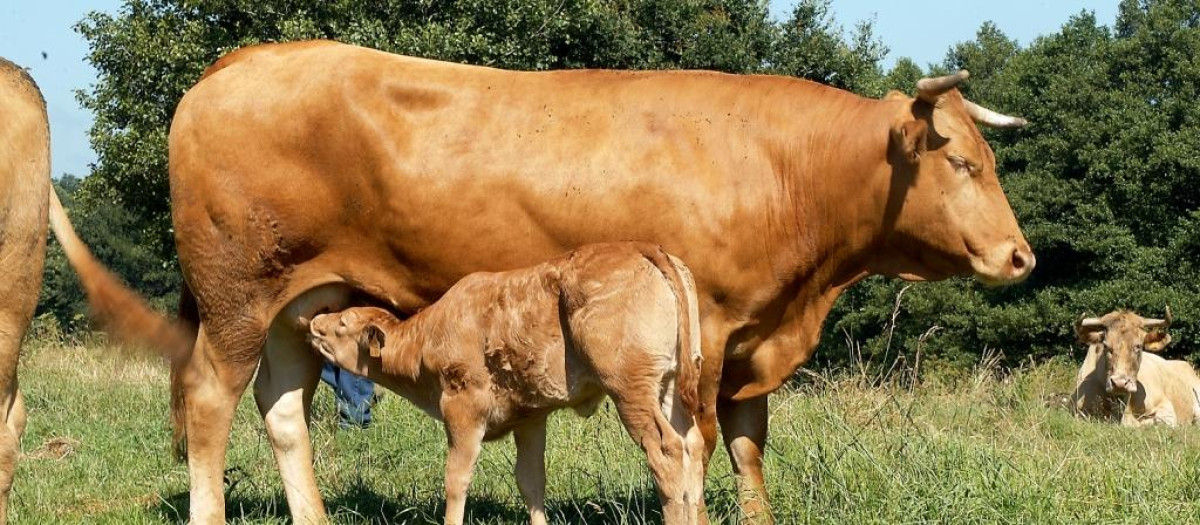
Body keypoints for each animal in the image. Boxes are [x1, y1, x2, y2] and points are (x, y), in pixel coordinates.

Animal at [306, 242, 704, 525]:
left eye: (342, 325)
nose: (314, 321)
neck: (428, 338)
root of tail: (641, 246)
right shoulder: (531, 416)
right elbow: (531, 480)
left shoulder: (463, 409)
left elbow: (456, 478)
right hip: (669, 385)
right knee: (693, 446)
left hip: (629, 389)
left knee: (667, 451)